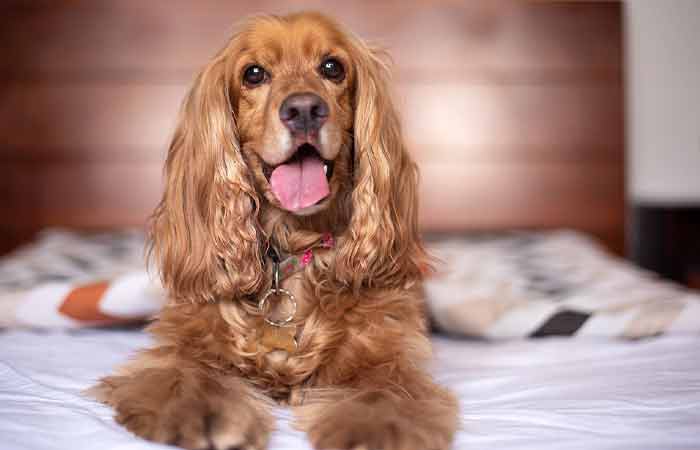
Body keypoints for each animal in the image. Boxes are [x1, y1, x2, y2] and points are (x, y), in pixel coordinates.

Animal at [89, 10, 460, 450]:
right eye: (253, 74)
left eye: (332, 67)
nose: (304, 109)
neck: (293, 246)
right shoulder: (185, 341)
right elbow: (188, 373)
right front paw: (203, 413)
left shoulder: (387, 353)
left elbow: (384, 393)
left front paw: (372, 430)